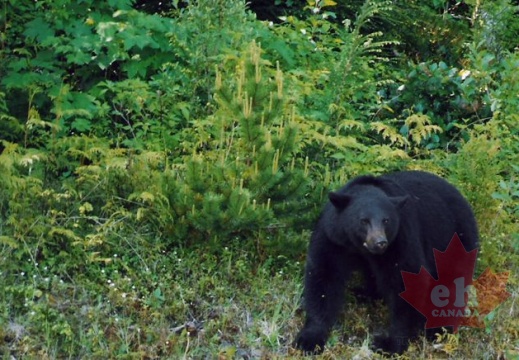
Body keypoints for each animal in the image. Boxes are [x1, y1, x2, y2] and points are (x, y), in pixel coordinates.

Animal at [294, 171, 482, 354]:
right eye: (364, 220)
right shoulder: (333, 237)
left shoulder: (401, 238)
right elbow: (324, 276)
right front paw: (310, 339)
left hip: (454, 240)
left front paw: (389, 343)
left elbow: (406, 281)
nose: (380, 242)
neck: (358, 247)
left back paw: (439, 330)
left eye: (386, 220)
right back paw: (365, 294)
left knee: (450, 285)